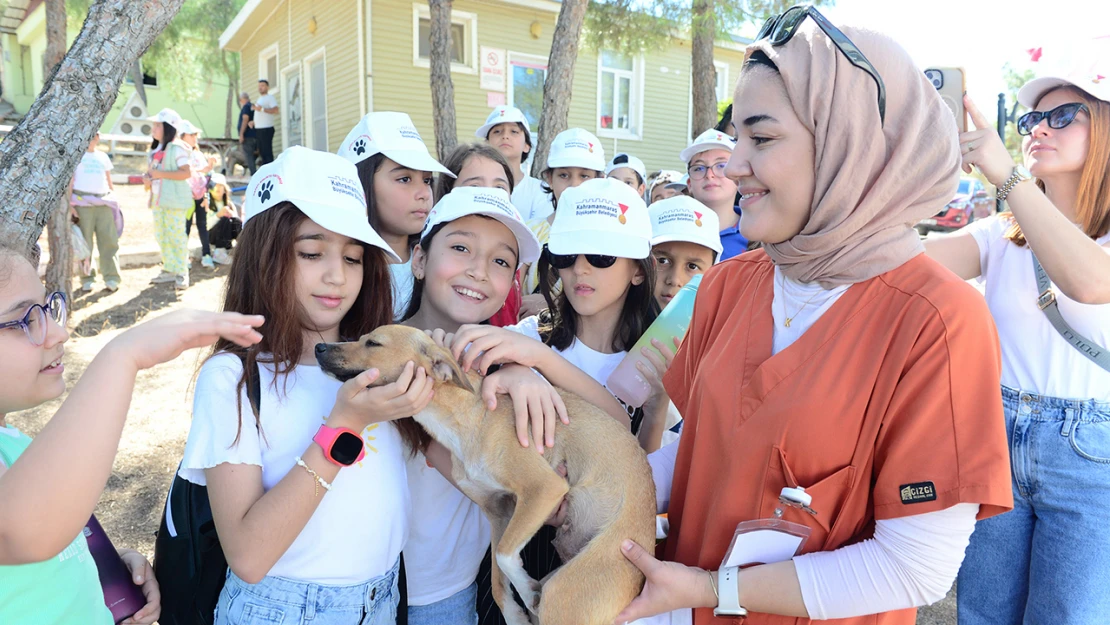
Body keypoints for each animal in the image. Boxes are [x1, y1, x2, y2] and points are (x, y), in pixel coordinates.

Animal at [317, 326, 652, 625]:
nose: (319, 347)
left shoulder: (543, 488)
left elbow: (504, 555)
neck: (466, 421)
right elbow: (496, 577)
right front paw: (514, 614)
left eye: (373, 343)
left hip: (564, 594)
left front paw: (526, 589)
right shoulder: (499, 512)